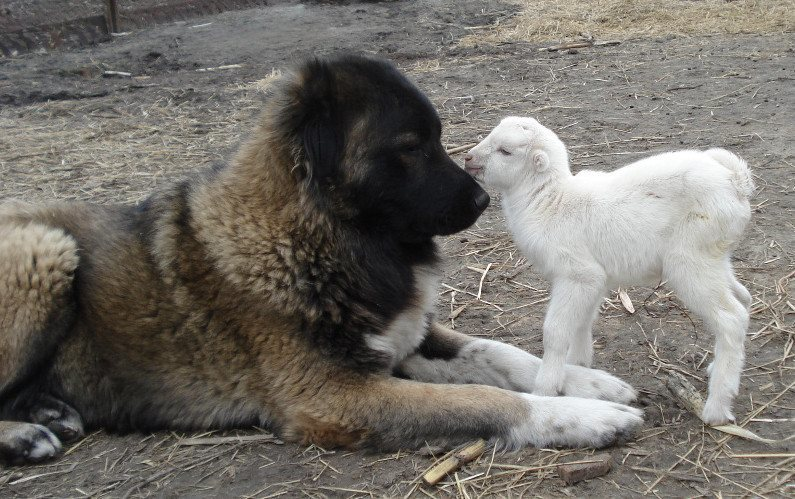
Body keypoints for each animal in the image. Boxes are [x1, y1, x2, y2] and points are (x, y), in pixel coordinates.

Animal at [0, 54, 640, 464]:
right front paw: (585, 417)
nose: (482, 201)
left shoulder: (408, 335)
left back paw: (50, 413)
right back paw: (27, 435)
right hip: (47, 250)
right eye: (411, 146)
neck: (323, 238)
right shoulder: (334, 394)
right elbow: (486, 399)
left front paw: (587, 383)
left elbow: (502, 355)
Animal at [466, 117, 760, 426]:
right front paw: (579, 365)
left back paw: (717, 408)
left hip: (690, 260)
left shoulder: (577, 273)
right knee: (743, 299)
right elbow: (582, 321)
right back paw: (718, 368)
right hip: (713, 256)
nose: (468, 158)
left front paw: (545, 388)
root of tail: (736, 182)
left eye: (505, 151)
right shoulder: (594, 280)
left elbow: (556, 331)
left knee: (731, 318)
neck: (550, 201)